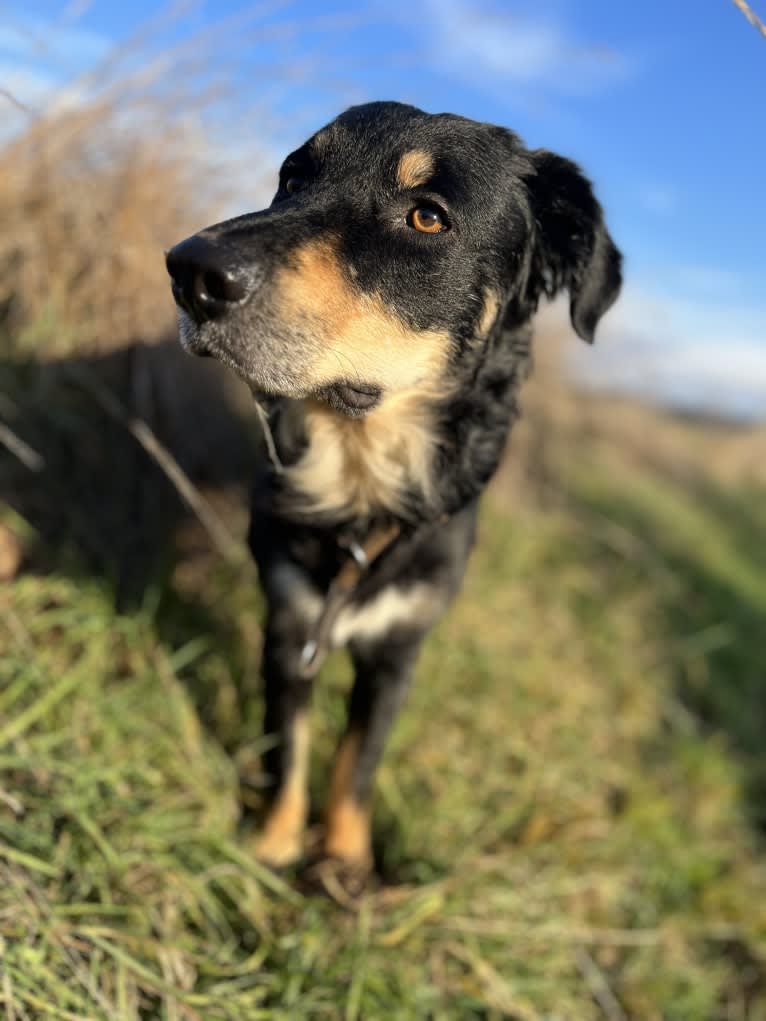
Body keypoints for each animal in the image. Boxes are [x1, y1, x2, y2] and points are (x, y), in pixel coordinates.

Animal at [167, 99, 625, 890]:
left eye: (428, 217)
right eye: (293, 177)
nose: (190, 271)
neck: (363, 487)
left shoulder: (399, 647)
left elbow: (357, 759)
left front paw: (344, 862)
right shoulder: (290, 624)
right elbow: (288, 746)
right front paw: (275, 848)